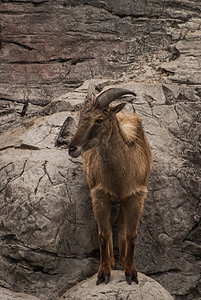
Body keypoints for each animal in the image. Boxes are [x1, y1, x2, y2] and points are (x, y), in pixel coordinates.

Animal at [68, 84, 152, 286]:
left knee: (120, 224)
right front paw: (103, 273)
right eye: (80, 116)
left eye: (99, 119)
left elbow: (131, 234)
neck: (118, 178)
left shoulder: (135, 196)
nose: (72, 148)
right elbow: (103, 233)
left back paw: (123, 261)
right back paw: (114, 262)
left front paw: (131, 273)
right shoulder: (99, 196)